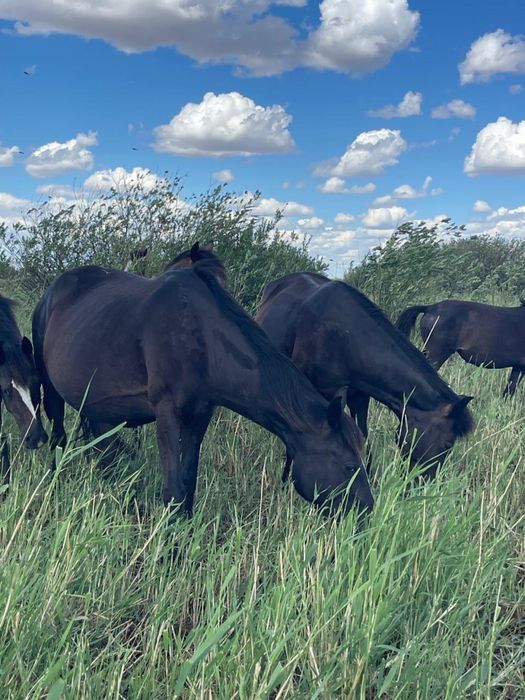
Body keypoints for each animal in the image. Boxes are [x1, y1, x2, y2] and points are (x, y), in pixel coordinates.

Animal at [32, 248, 373, 516]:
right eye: (348, 466)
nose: (367, 511)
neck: (200, 337)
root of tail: (54, 290)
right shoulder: (167, 414)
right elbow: (173, 490)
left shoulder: (200, 415)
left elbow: (188, 484)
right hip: (52, 394)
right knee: (59, 437)